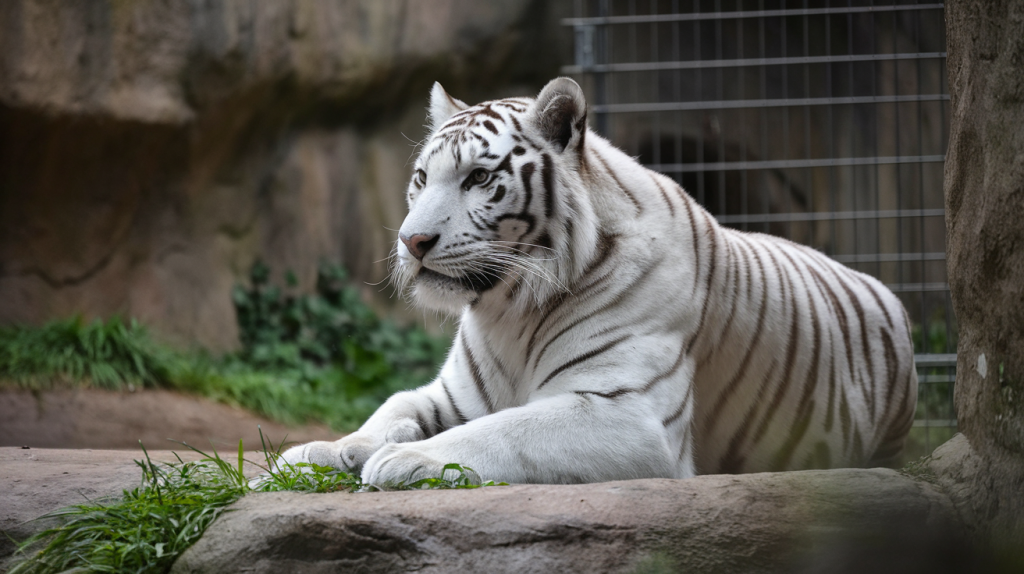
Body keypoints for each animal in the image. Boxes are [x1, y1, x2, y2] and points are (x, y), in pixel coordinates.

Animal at [279, 77, 919, 485]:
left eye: (479, 178)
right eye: (420, 178)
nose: (412, 243)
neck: (509, 310)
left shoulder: (627, 413)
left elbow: (505, 430)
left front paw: (406, 459)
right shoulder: (453, 392)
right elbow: (390, 406)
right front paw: (317, 452)